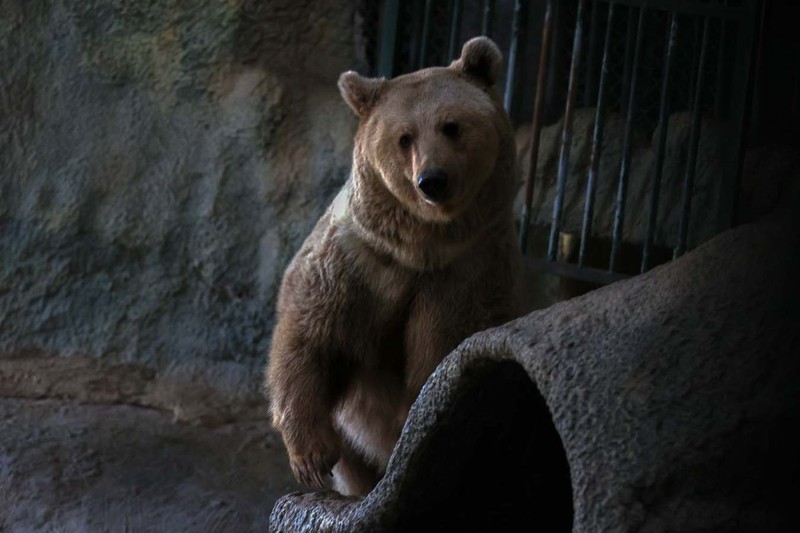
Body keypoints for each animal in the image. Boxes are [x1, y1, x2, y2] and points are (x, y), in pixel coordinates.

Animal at [264, 36, 524, 494]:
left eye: (451, 125)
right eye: (404, 137)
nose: (432, 180)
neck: (421, 244)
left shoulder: (468, 271)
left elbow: (437, 353)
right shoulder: (355, 260)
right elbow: (310, 336)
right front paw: (311, 458)